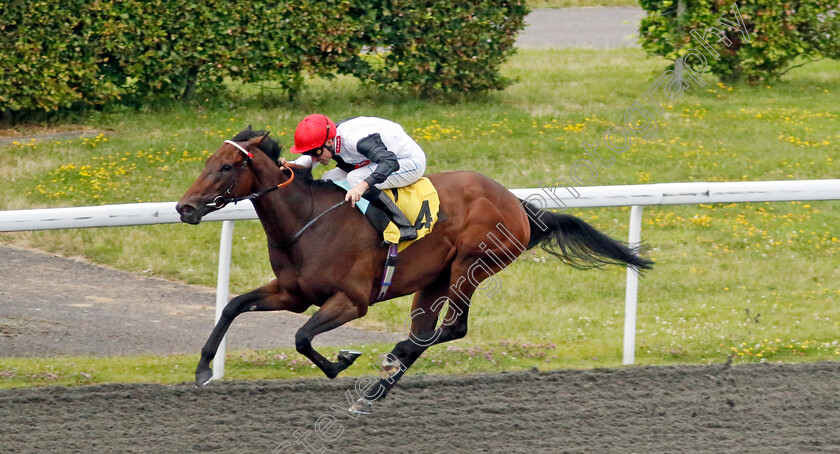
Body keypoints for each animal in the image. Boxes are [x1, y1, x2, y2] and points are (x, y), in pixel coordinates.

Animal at [176, 127, 648, 412]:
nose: (184, 208)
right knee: (426, 333)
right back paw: (376, 388)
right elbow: (234, 306)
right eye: (207, 162)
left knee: (451, 328)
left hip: (470, 265)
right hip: (432, 281)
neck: (308, 221)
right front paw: (202, 370)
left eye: (225, 167)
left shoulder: (352, 301)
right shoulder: (293, 294)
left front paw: (343, 360)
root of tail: (518, 205)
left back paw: (391, 359)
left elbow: (302, 338)